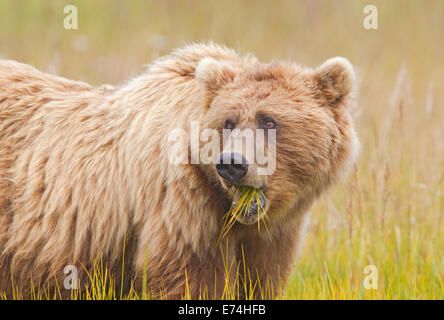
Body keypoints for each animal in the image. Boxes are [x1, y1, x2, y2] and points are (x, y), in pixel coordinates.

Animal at [0, 43, 360, 298]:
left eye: (269, 121)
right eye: (228, 122)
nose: (232, 164)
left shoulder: (272, 235)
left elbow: (260, 278)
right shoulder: (184, 206)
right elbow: (191, 276)